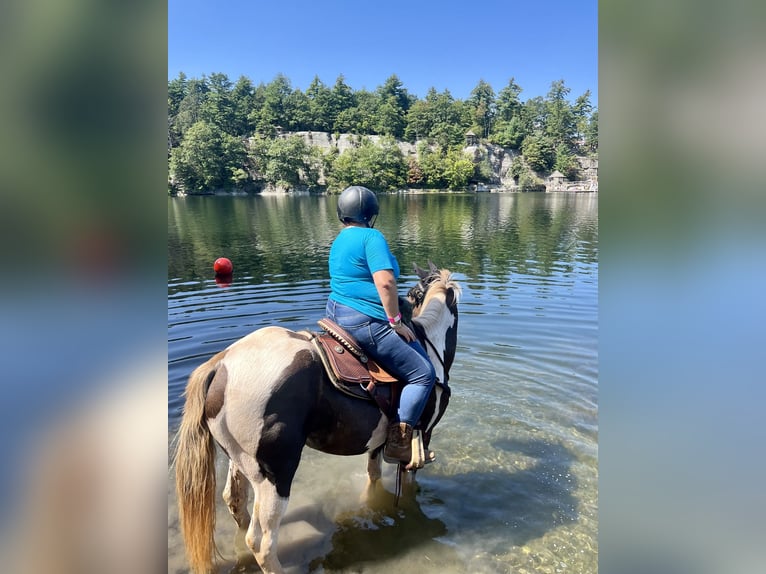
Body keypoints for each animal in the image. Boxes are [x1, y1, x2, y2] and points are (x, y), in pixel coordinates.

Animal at [173, 263, 461, 574]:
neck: (430, 348)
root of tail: (221, 364)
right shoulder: (423, 435)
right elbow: (408, 482)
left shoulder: (378, 441)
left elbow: (373, 476)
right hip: (276, 475)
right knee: (262, 541)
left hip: (240, 463)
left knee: (236, 504)